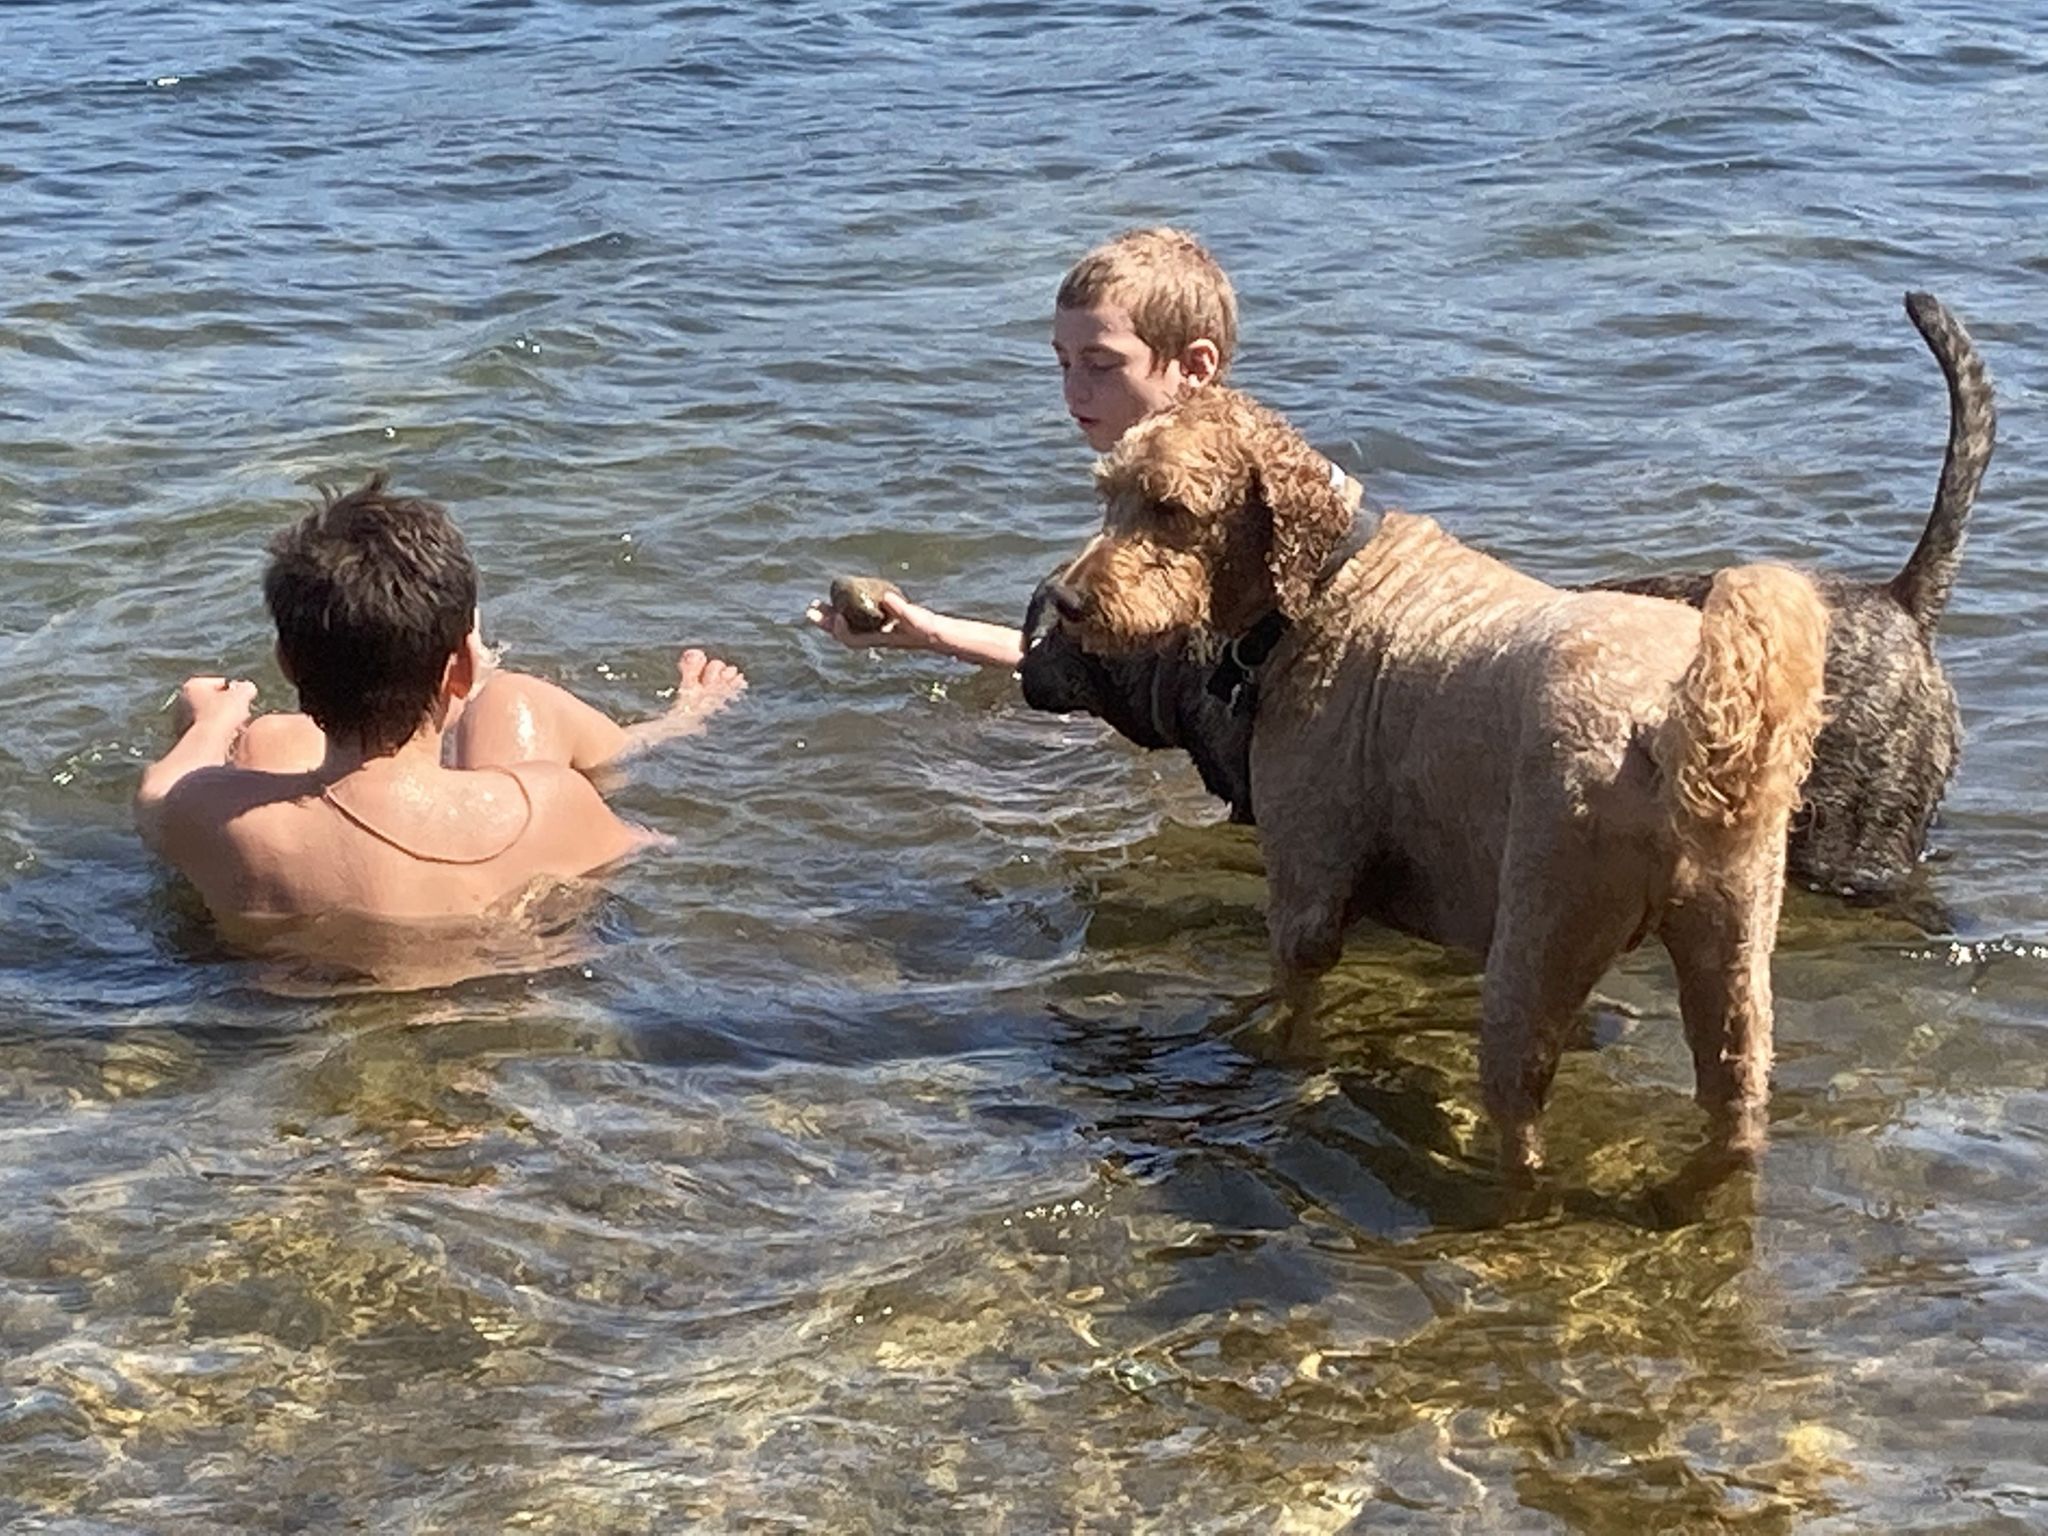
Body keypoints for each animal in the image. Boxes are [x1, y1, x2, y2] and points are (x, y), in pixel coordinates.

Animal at [1027, 382, 1829, 1178]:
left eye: (1171, 507)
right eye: (1107, 493)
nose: (1067, 600)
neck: (1326, 581)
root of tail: (1667, 717)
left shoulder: (1305, 898)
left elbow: (1295, 1012)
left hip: (1536, 946)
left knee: (1523, 1131)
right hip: (1733, 954)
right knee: (1735, 1105)